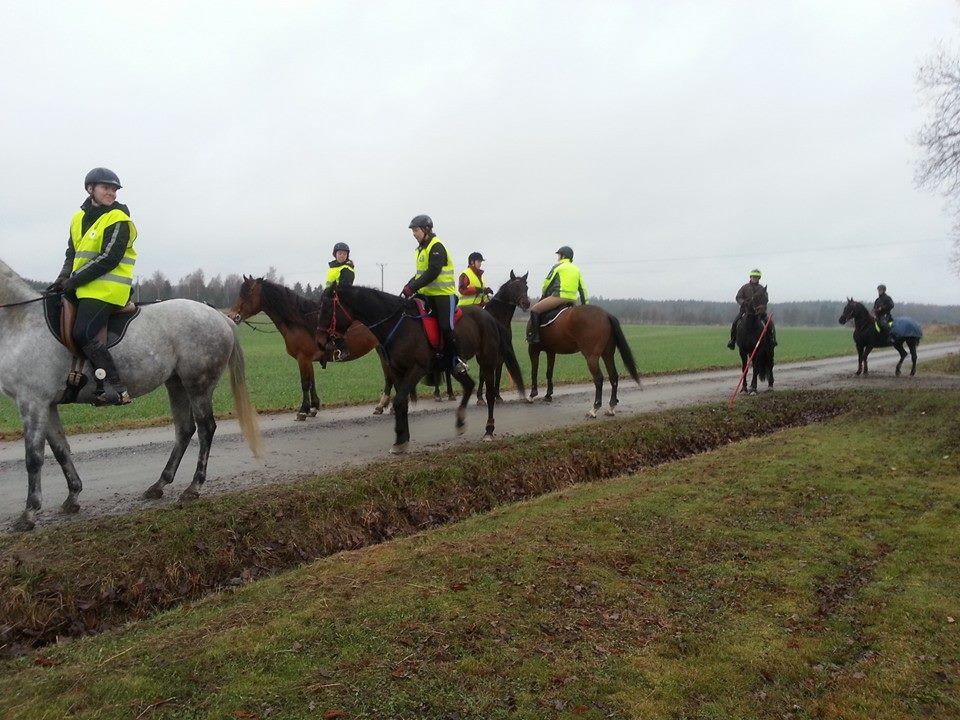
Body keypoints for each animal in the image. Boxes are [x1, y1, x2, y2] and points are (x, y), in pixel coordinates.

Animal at [0, 258, 262, 528]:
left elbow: (33, 457)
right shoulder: (47, 404)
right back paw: (159, 484)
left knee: (205, 429)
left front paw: (29, 513)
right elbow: (60, 450)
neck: (20, 320)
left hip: (198, 384)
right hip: (176, 384)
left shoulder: (32, 402)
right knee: (184, 430)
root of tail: (219, 317)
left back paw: (193, 487)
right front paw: (72, 496)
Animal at [226, 278, 398, 422]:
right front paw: (313, 407)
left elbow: (305, 383)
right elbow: (311, 382)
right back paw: (383, 405)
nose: (232, 316)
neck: (299, 321)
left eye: (248, 293)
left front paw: (303, 411)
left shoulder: (303, 358)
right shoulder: (308, 359)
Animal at [316, 284, 524, 452]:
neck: (397, 325)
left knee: (489, 393)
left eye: (327, 309)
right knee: (469, 385)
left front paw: (400, 439)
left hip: (487, 360)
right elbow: (402, 403)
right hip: (452, 366)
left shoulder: (416, 369)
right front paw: (401, 439)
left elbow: (399, 401)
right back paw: (460, 421)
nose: (320, 342)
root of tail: (490, 317)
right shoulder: (398, 372)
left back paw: (489, 430)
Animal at [474, 272, 528, 404]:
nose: (526, 303)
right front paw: (480, 398)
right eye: (515, 287)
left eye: (526, 287)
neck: (497, 318)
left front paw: (497, 396)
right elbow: (482, 373)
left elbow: (497, 372)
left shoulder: (501, 352)